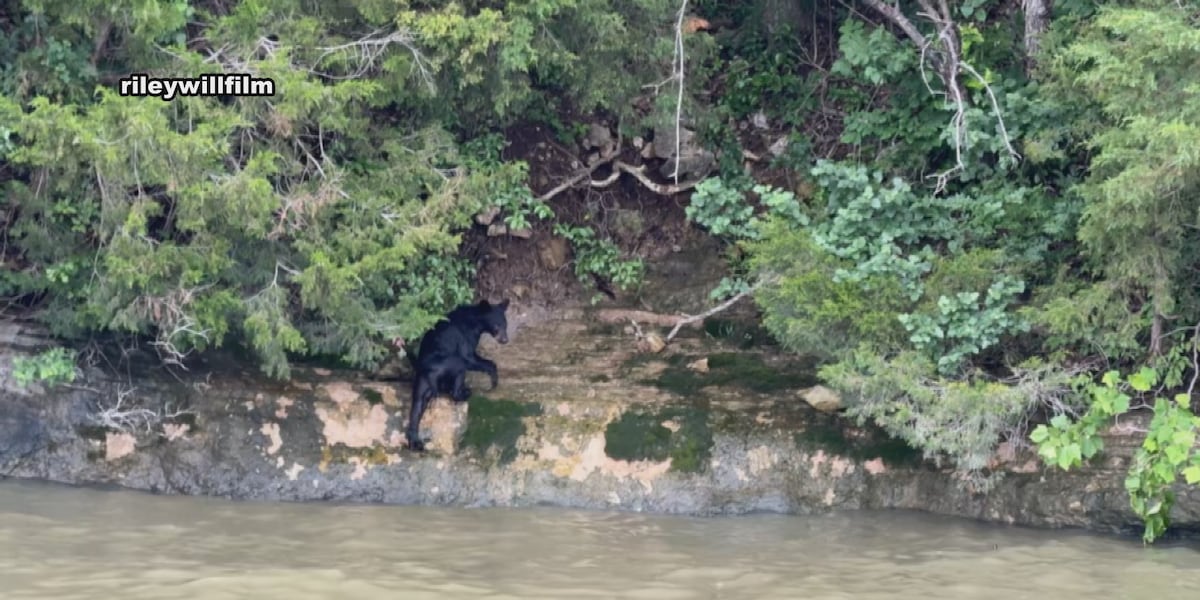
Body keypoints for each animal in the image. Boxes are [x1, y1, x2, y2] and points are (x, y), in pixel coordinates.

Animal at [405, 299, 510, 451]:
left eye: (505, 324)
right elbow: (470, 357)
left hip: (422, 379)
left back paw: (415, 441)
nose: (505, 340)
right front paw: (493, 379)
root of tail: (430, 372)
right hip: (451, 362)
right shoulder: (465, 337)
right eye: (497, 325)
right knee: (460, 370)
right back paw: (464, 393)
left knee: (417, 404)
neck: (475, 322)